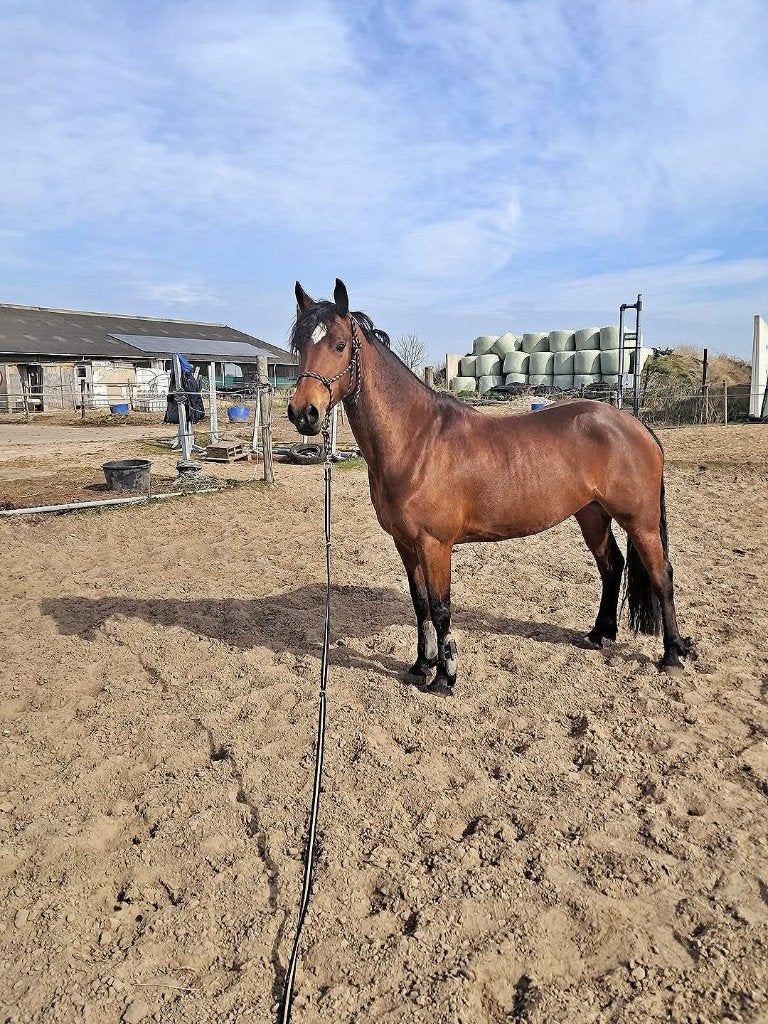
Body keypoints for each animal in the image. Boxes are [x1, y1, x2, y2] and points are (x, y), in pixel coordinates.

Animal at [287, 278, 693, 693]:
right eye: (299, 345)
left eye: (339, 345)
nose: (304, 413)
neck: (416, 440)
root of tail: (634, 423)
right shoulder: (405, 543)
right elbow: (420, 604)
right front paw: (420, 666)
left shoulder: (435, 544)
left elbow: (440, 607)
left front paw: (444, 677)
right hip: (591, 514)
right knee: (611, 565)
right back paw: (598, 635)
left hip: (640, 521)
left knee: (661, 575)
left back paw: (672, 655)